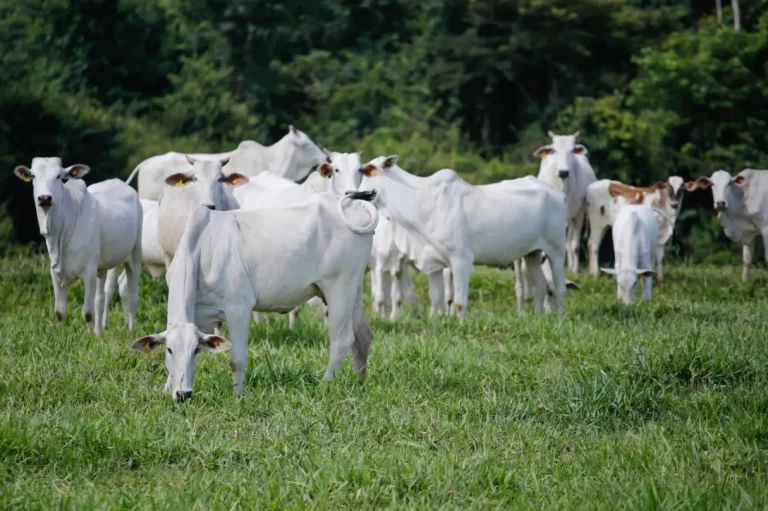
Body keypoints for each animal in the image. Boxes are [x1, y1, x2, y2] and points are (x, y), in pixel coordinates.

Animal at [14, 160, 143, 336]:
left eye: (59, 176)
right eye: (33, 175)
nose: (45, 198)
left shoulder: (88, 273)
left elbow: (87, 312)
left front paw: (90, 337)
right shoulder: (56, 272)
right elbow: (60, 311)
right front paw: (62, 335)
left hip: (134, 256)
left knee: (132, 295)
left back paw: (130, 332)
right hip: (102, 267)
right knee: (101, 298)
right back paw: (99, 332)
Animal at [136, 190, 382, 402]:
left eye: (196, 350)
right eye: (169, 349)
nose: (184, 395)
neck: (201, 249)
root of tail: (352, 204)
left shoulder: (238, 309)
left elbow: (236, 359)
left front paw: (237, 395)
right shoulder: (200, 315)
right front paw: (167, 390)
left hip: (339, 286)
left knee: (342, 339)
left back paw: (326, 384)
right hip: (353, 288)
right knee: (363, 335)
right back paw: (360, 383)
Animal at [356, 155, 568, 320]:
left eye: (369, 170)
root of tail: (557, 194)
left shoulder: (461, 260)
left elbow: (459, 302)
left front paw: (460, 323)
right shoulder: (433, 263)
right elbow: (436, 299)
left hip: (556, 250)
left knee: (558, 287)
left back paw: (559, 318)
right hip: (532, 253)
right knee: (541, 286)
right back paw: (539, 316)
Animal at [532, 133, 596, 276]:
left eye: (572, 150)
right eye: (554, 150)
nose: (563, 172)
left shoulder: (578, 214)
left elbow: (574, 245)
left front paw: (574, 271)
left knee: (570, 243)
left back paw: (572, 267)